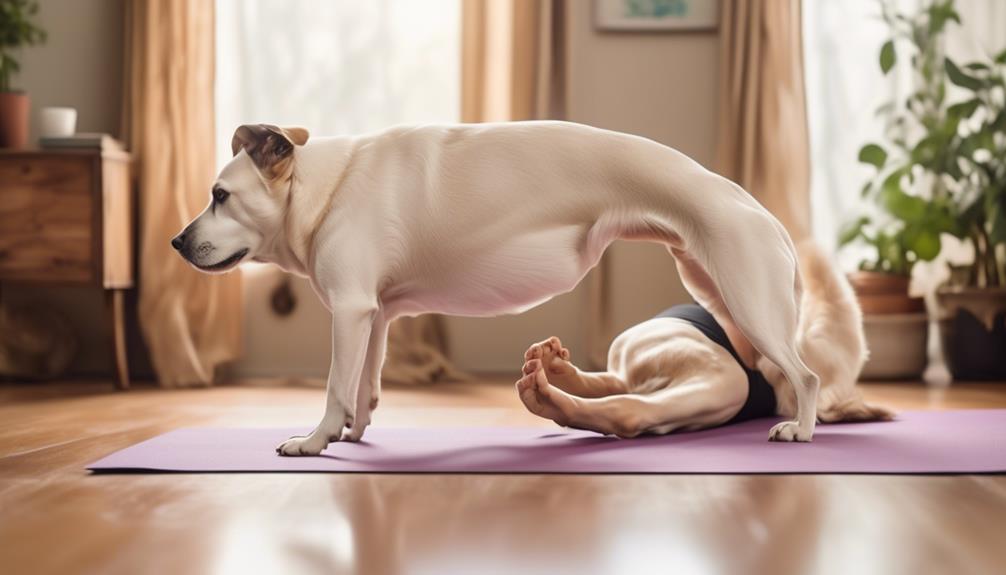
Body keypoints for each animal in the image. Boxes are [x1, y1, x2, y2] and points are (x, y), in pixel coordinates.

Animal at [171, 121, 816, 454]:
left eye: (220, 195)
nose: (176, 243)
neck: (325, 188)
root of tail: (752, 204)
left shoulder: (349, 312)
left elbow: (334, 387)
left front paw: (315, 441)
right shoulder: (374, 315)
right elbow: (365, 386)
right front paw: (352, 434)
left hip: (749, 303)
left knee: (805, 377)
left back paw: (802, 430)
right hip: (717, 296)